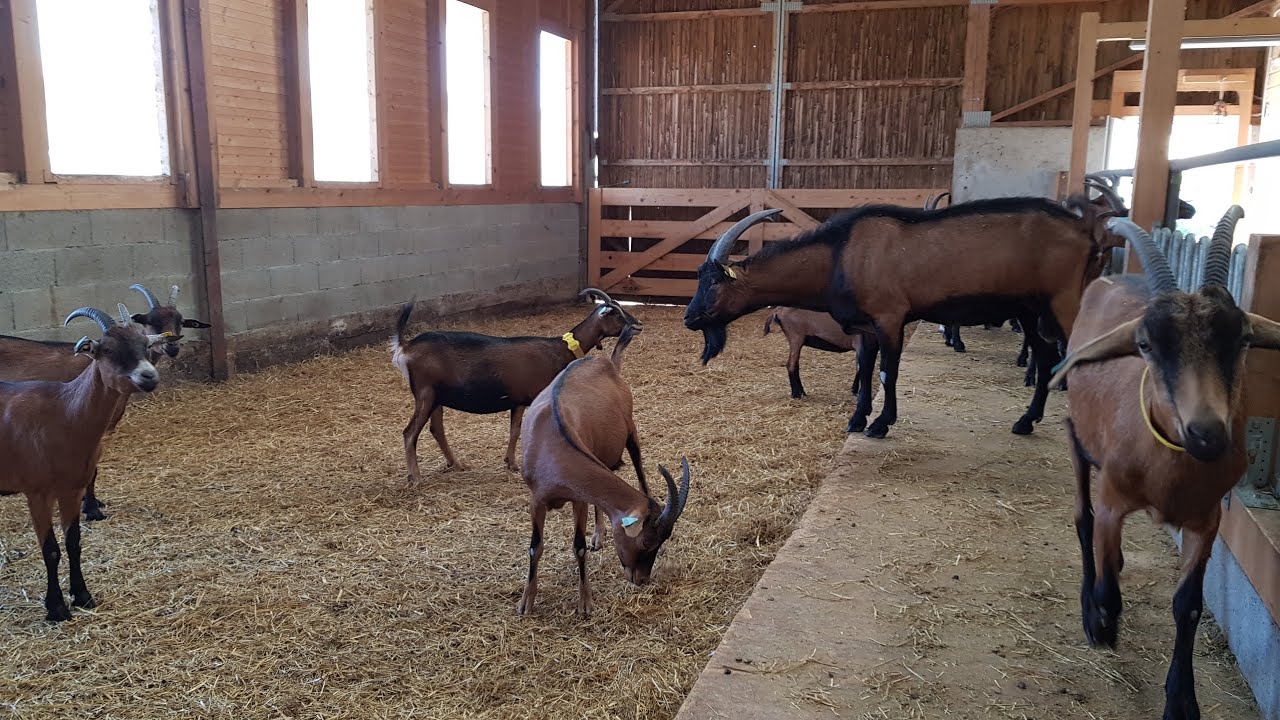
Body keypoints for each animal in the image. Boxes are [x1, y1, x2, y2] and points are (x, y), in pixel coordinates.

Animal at [0, 305, 168, 621]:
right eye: (108, 350)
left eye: (145, 345)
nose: (149, 376)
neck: (64, 412)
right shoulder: (37, 493)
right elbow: (50, 549)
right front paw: (56, 608)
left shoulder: (72, 489)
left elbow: (73, 543)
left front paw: (82, 596)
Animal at [391, 288, 642, 483]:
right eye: (616, 314)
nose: (638, 324)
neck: (561, 349)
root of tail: (405, 347)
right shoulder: (529, 399)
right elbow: (522, 431)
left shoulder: (518, 401)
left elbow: (514, 431)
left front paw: (510, 463)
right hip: (425, 394)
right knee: (410, 433)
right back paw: (415, 477)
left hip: (437, 398)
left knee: (436, 429)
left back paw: (456, 464)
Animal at [516, 323, 690, 617]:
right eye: (646, 542)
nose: (641, 579)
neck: (551, 440)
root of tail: (607, 363)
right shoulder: (537, 499)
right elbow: (535, 547)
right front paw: (526, 601)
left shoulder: (578, 498)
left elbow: (579, 546)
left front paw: (585, 603)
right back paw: (598, 536)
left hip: (631, 431)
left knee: (641, 473)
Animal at [684, 196, 1117, 438]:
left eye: (713, 282)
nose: (689, 319)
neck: (839, 253)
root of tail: (1085, 233)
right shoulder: (864, 327)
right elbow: (864, 370)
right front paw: (858, 419)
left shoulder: (889, 317)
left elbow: (886, 373)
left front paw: (880, 424)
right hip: (1031, 311)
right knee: (1046, 358)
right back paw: (1026, 421)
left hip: (1065, 302)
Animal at [1049, 208, 1279, 720]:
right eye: (1146, 344)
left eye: (1242, 339)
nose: (1207, 434)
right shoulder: (1113, 500)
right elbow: (1109, 580)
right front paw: (1102, 621)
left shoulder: (1206, 519)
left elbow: (1188, 604)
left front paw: (1181, 700)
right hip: (1079, 439)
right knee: (1082, 517)